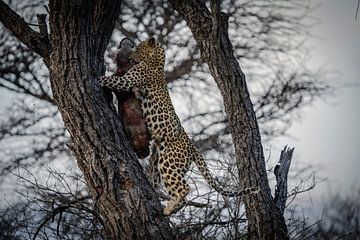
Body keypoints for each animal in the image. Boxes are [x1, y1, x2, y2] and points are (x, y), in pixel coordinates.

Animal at [99, 37, 258, 216]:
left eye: (138, 48)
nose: (132, 57)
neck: (157, 62)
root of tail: (192, 147)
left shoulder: (127, 81)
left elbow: (110, 80)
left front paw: (95, 78)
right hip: (165, 161)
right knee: (169, 186)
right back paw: (167, 205)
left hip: (169, 161)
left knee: (184, 188)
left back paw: (169, 208)